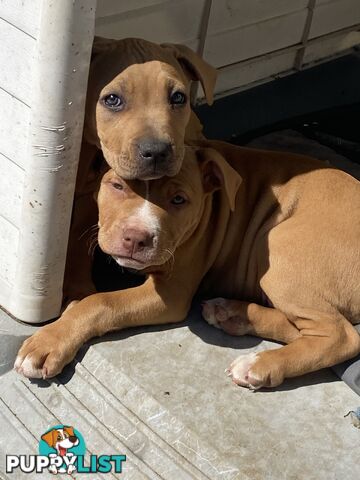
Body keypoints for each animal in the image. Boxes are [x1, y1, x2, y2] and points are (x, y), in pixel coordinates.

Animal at [14, 142, 360, 390]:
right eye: (118, 186)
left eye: (179, 200)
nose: (136, 238)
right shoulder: (87, 218)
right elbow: (76, 260)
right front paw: (73, 297)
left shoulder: (171, 293)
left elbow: (101, 303)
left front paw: (49, 341)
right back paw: (232, 314)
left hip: (278, 244)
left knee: (341, 336)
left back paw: (260, 364)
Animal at [63, 36, 217, 300]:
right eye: (112, 99)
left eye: (178, 97)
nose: (157, 151)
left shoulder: (90, 198)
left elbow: (79, 237)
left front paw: (78, 289)